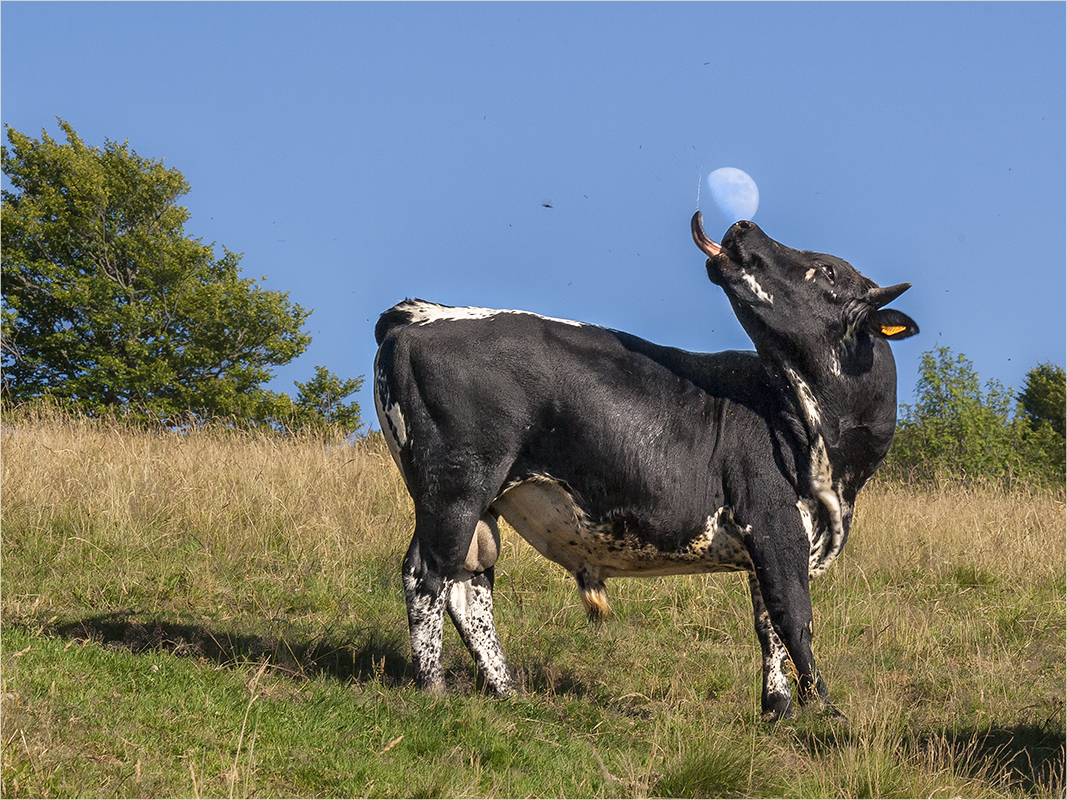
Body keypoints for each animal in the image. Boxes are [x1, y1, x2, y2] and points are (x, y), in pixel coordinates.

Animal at [371, 211, 913, 721]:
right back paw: (433, 688)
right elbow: (793, 616)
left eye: (828, 270)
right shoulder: (773, 520)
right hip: (456, 488)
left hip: (479, 501)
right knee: (427, 574)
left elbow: (768, 624)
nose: (744, 224)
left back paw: (509, 692)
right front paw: (825, 711)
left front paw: (777, 710)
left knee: (469, 585)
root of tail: (421, 314)